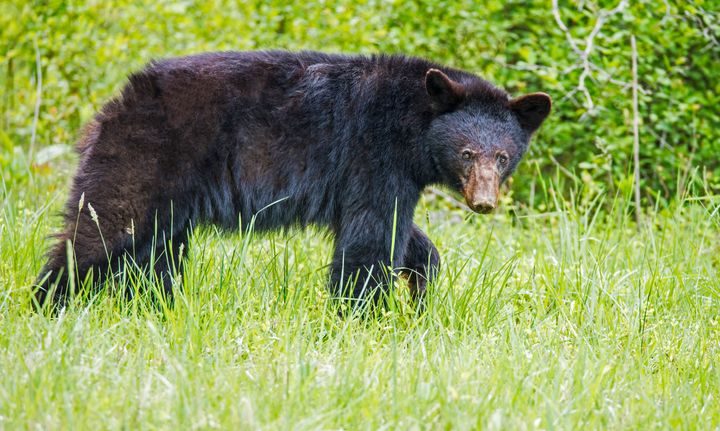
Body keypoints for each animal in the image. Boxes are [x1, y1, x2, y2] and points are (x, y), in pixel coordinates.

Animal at [35, 51, 552, 308]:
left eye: (502, 157)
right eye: (467, 153)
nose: (483, 201)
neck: (412, 121)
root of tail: (114, 105)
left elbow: (402, 236)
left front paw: (420, 289)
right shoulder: (373, 153)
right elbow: (371, 236)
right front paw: (362, 315)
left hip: (170, 195)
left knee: (154, 253)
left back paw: (152, 307)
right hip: (145, 156)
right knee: (102, 229)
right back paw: (48, 304)